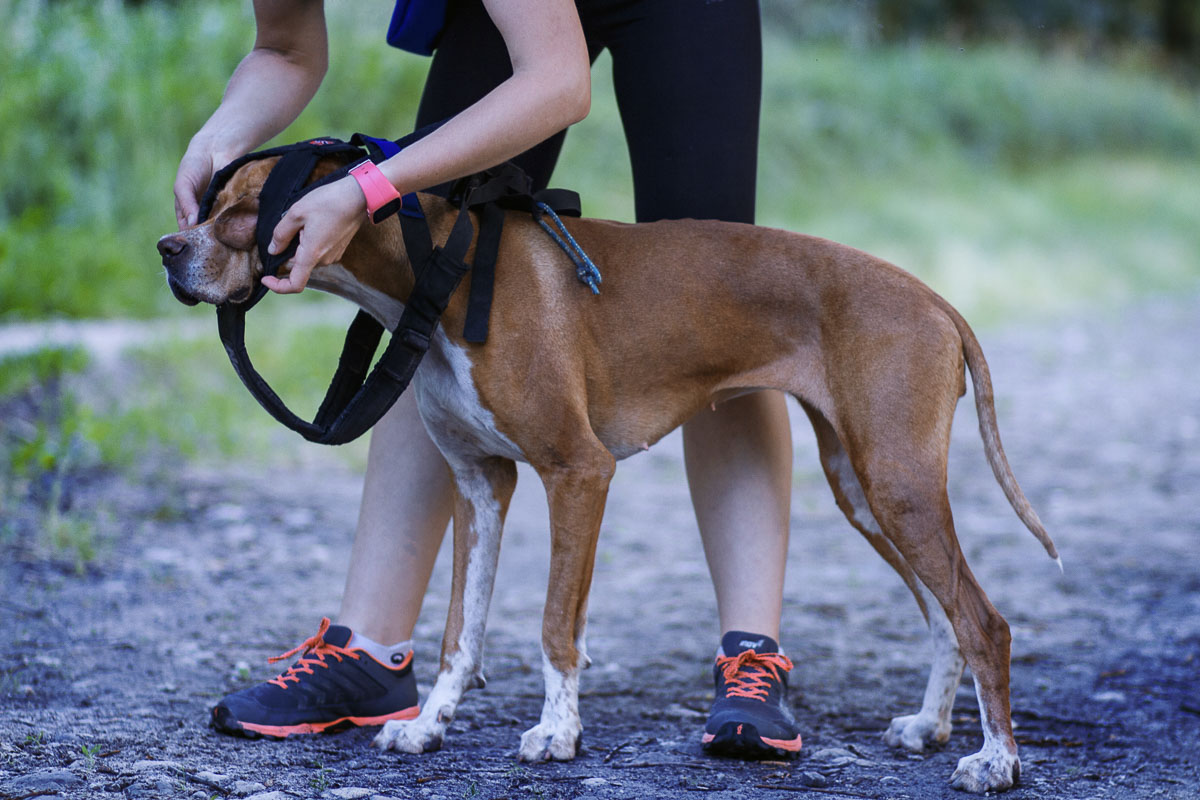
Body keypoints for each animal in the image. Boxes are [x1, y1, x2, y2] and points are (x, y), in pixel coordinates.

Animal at [159, 153, 1060, 791]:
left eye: (246, 211)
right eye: (211, 202)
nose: (168, 247)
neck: (444, 274)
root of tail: (936, 301)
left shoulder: (578, 472)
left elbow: (556, 626)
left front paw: (558, 734)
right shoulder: (481, 486)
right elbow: (459, 632)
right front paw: (430, 725)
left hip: (896, 485)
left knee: (984, 622)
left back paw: (997, 763)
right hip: (864, 491)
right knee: (945, 618)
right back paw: (931, 726)